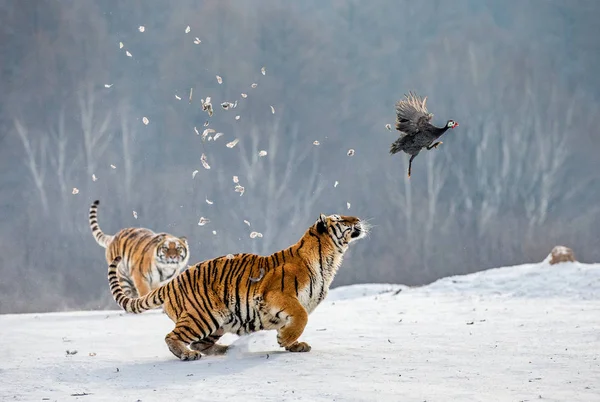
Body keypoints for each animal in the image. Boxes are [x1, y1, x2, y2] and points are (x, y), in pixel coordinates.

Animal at [108, 214, 370, 362]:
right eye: (341, 220)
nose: (357, 219)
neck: (330, 258)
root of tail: (173, 281)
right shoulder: (278, 296)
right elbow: (301, 317)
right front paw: (285, 340)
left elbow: (295, 320)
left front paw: (294, 345)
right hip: (201, 317)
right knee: (174, 337)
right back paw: (187, 355)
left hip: (218, 321)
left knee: (201, 343)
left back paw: (226, 350)